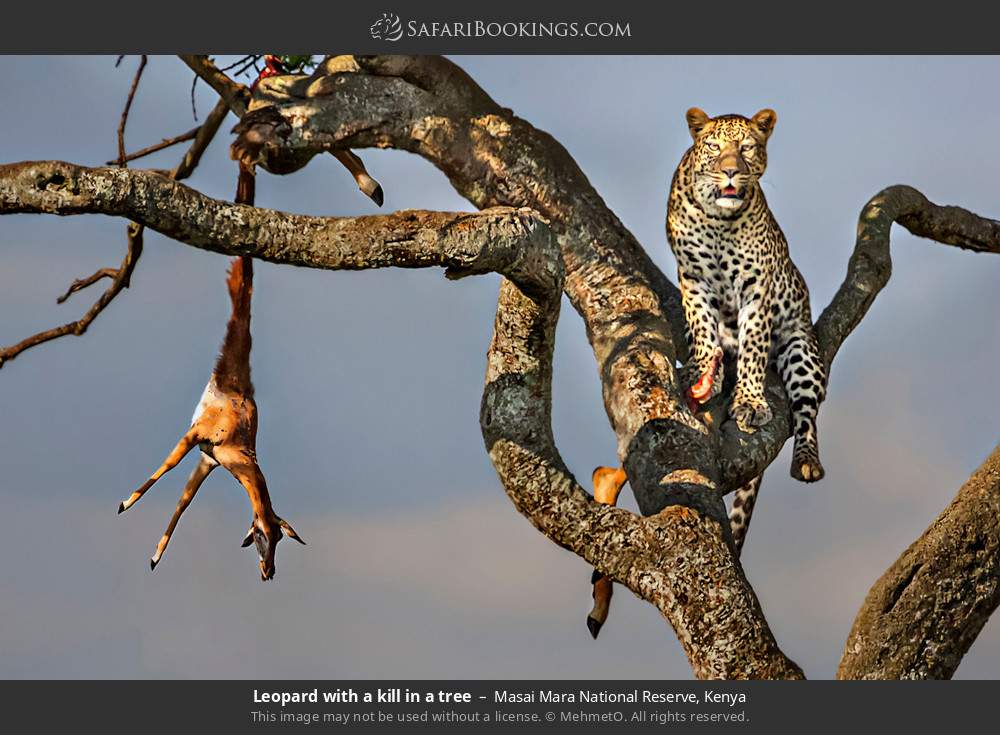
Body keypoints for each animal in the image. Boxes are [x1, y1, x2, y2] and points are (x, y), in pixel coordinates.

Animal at [664, 105, 828, 552]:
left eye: (747, 148)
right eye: (715, 147)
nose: (731, 172)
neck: (720, 221)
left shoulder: (758, 288)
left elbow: (754, 345)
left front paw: (750, 402)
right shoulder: (692, 277)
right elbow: (701, 325)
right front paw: (701, 369)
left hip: (802, 352)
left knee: (807, 413)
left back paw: (807, 461)